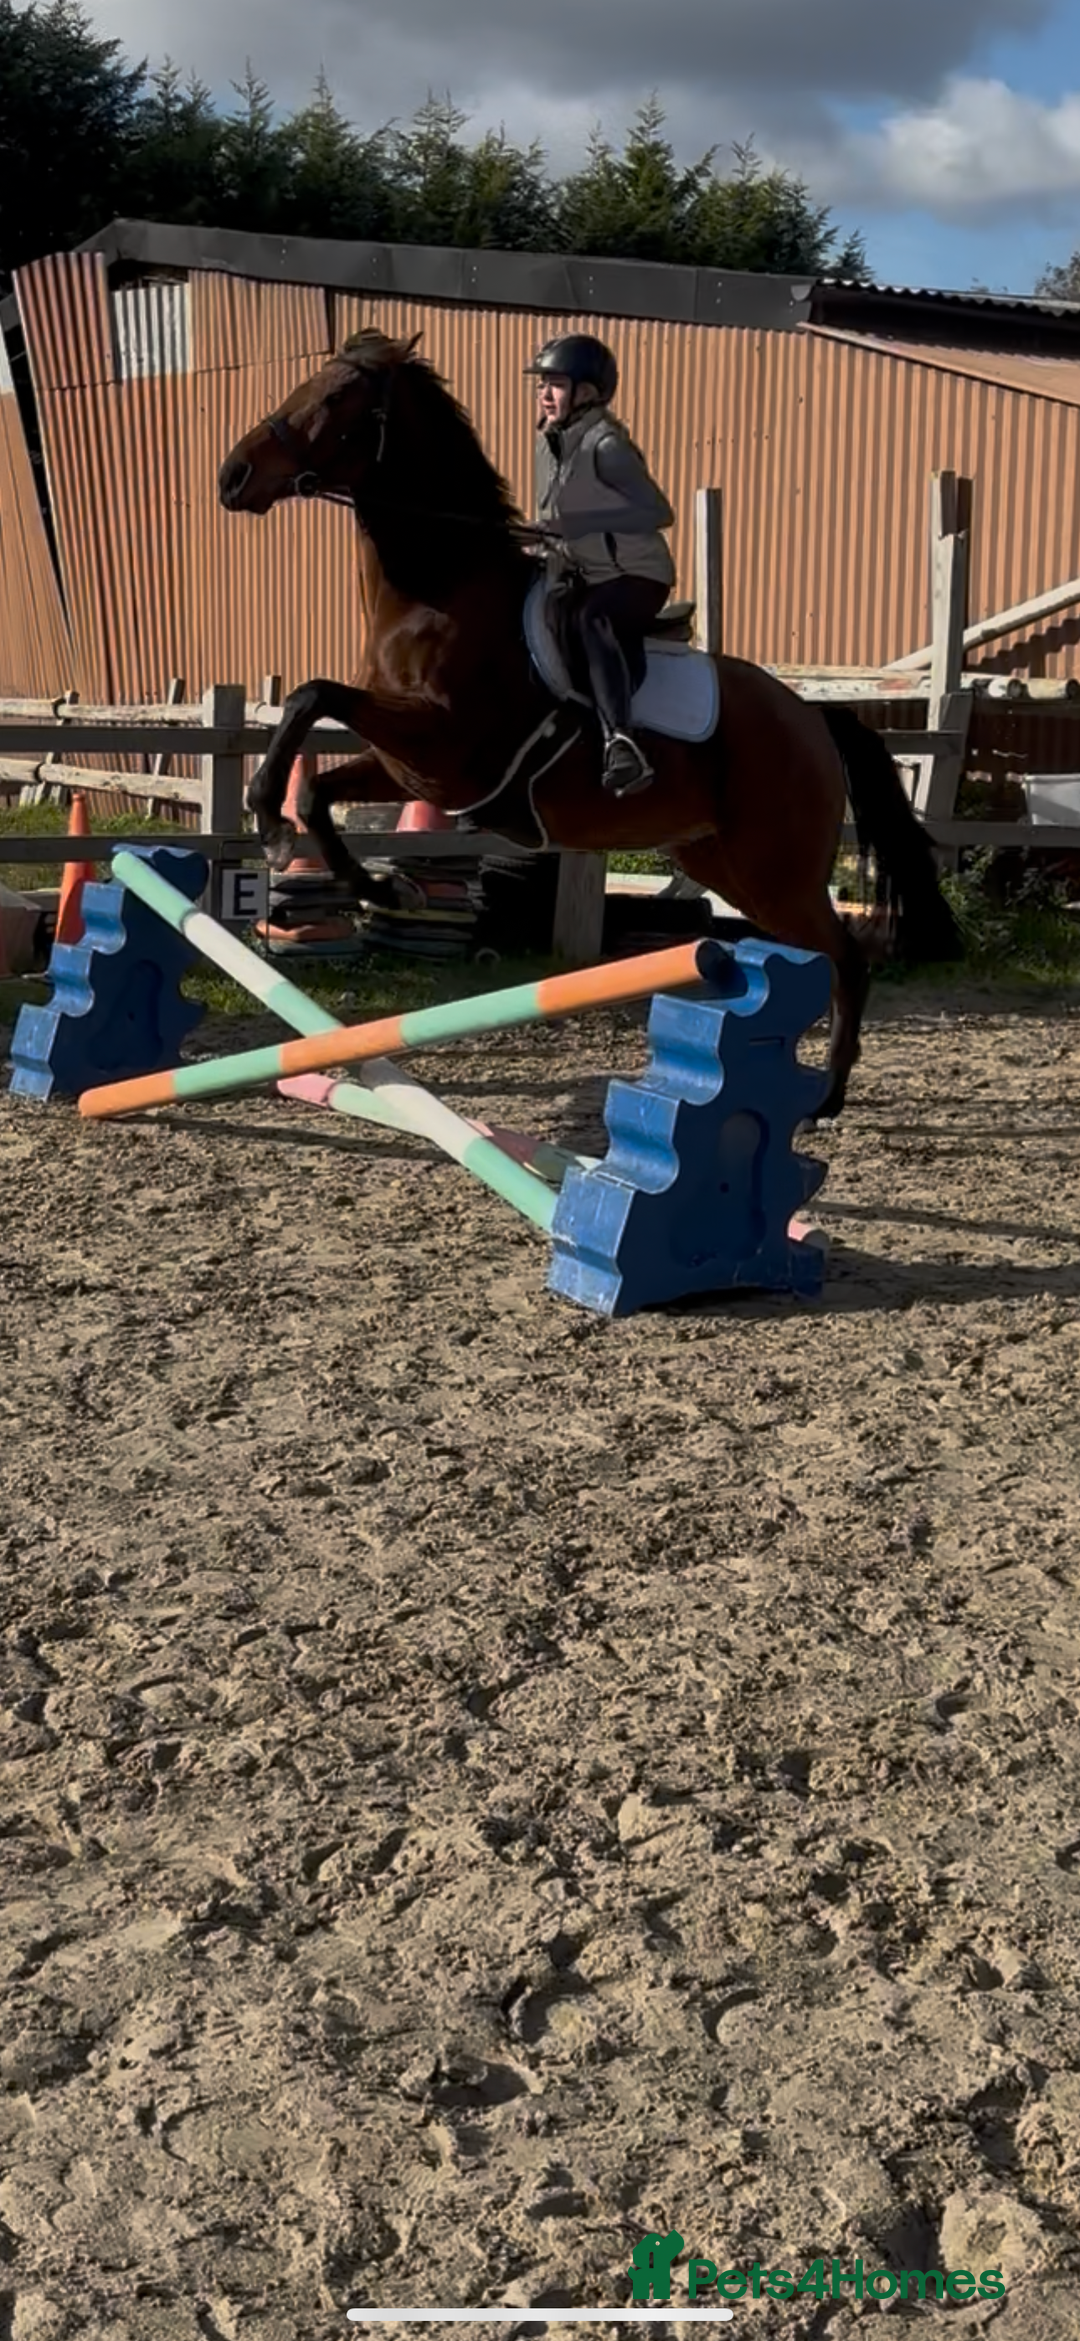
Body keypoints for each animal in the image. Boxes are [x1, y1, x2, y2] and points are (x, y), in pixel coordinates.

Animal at [218, 326, 961, 1120]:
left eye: (335, 398)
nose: (232, 476)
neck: (439, 590)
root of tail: (813, 718)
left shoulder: (443, 746)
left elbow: (310, 695)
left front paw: (268, 822)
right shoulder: (412, 769)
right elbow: (317, 788)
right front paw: (378, 885)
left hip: (775, 872)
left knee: (847, 956)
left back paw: (827, 1094)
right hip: (721, 862)